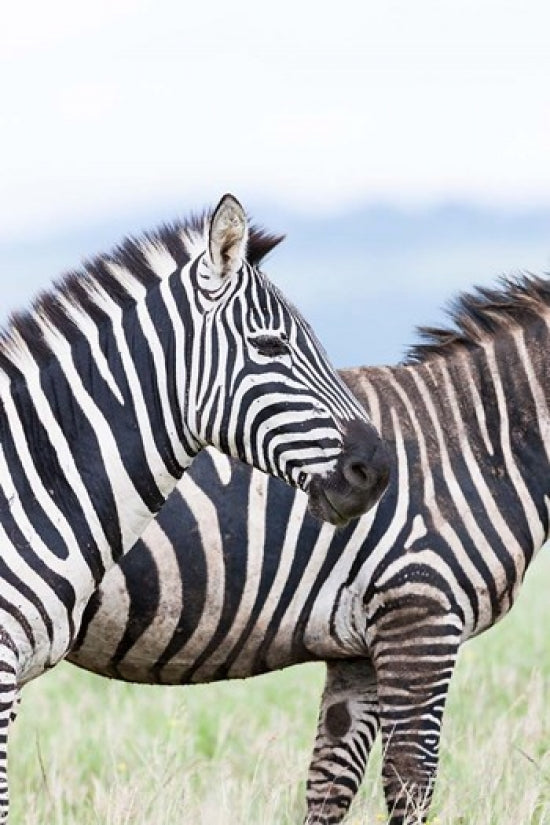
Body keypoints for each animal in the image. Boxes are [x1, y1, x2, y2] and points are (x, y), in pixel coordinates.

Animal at [69, 271, 550, 824]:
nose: (377, 478)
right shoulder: (420, 617)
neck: (483, 442)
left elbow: (330, 786)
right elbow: (411, 780)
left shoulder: (359, 650)